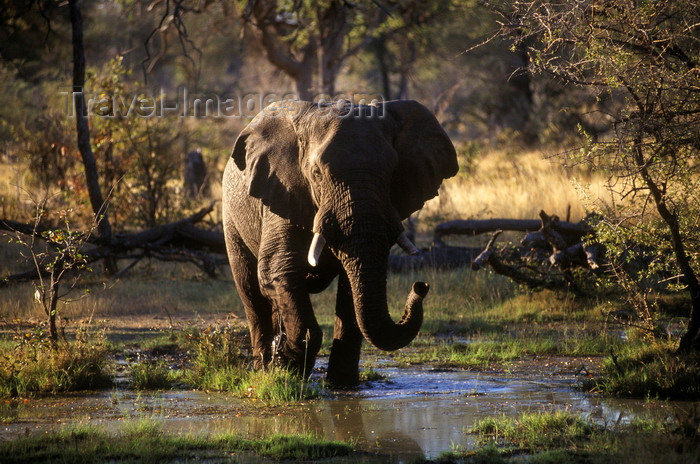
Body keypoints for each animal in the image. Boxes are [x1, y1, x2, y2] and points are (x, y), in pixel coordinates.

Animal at [224, 99, 460, 388]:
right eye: (316, 174)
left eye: (394, 173)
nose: (421, 285)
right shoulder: (285, 193)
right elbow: (277, 270)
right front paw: (287, 369)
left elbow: (352, 288)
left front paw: (341, 385)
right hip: (232, 217)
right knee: (251, 291)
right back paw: (264, 368)